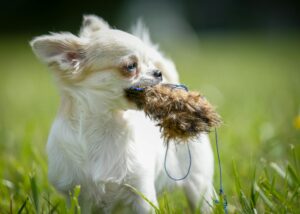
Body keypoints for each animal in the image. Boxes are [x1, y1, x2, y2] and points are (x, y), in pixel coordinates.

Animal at [30, 14, 214, 212]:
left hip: (198, 183)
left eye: (150, 63)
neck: (107, 124)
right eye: (131, 66)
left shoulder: (141, 193)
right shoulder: (77, 197)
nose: (158, 73)